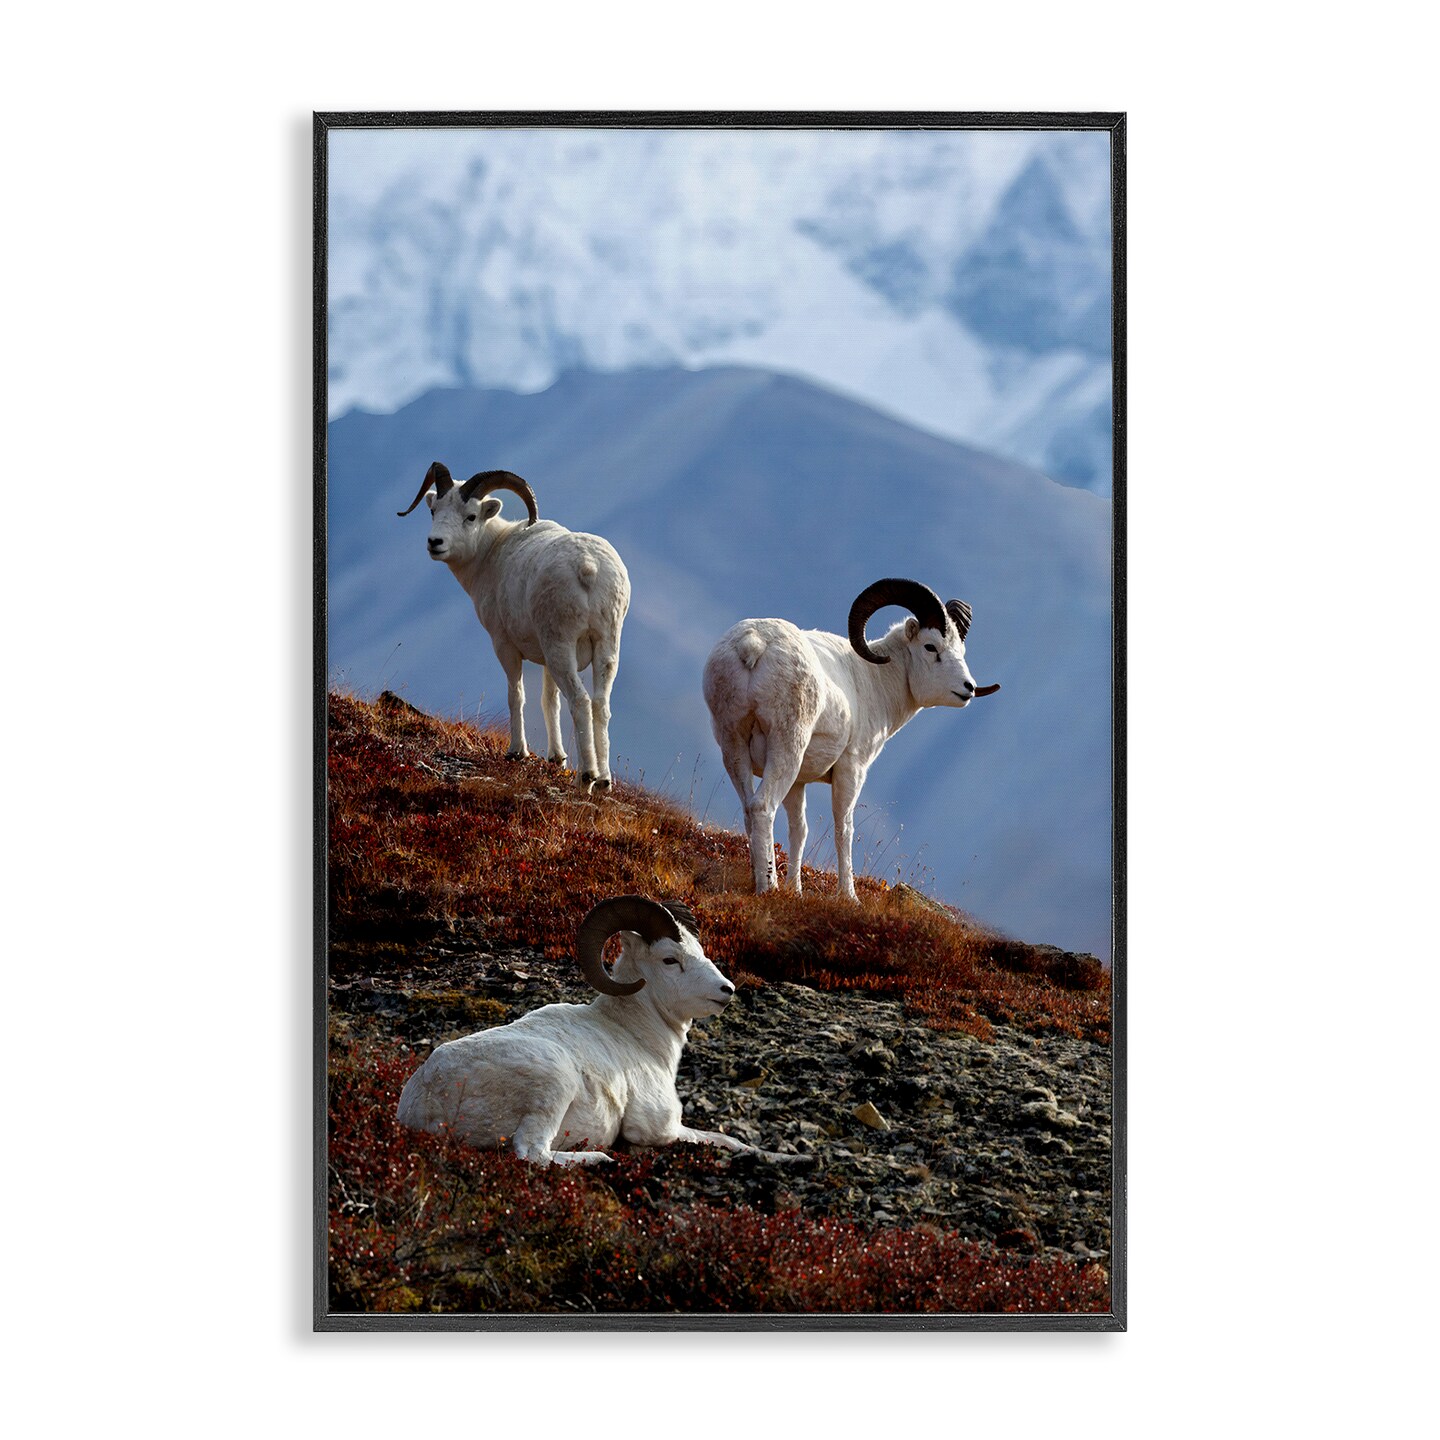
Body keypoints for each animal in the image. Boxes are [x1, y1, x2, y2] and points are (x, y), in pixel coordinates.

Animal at [397, 896, 794, 1166]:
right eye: (670, 959)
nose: (727, 990)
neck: (637, 1037)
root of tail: (427, 1103)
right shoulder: (661, 1128)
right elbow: (729, 1140)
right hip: (554, 1084)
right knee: (532, 1153)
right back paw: (601, 1159)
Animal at [398, 462, 629, 792]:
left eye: (471, 516)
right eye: (434, 510)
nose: (435, 543)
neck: (491, 555)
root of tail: (588, 567)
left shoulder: (505, 646)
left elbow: (516, 695)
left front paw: (517, 753)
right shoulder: (546, 660)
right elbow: (549, 701)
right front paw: (556, 759)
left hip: (561, 648)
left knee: (581, 701)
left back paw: (586, 778)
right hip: (605, 648)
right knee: (600, 704)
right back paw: (604, 781)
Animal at [702, 578, 1001, 900]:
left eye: (961, 649)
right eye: (931, 646)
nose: (968, 688)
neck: (874, 681)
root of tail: (754, 643)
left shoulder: (799, 783)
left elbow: (799, 830)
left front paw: (796, 891)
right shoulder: (851, 769)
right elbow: (844, 829)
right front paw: (849, 896)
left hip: (733, 746)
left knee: (749, 809)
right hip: (786, 748)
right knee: (762, 807)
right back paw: (767, 887)